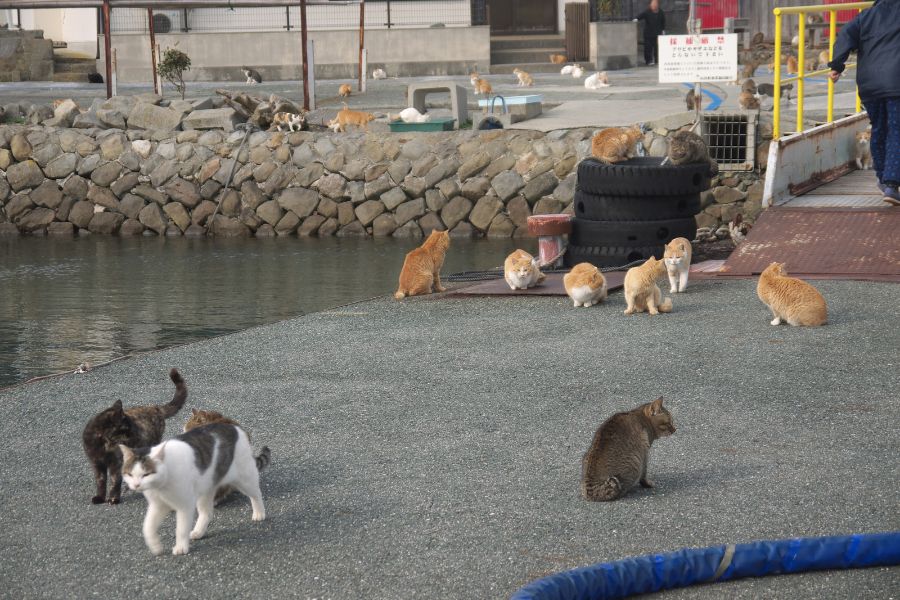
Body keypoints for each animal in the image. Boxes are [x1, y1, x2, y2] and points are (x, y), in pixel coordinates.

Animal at [82, 368, 186, 504]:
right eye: (126, 429)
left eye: (132, 427)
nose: (135, 434)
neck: (103, 444)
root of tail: (155, 407)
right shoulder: (97, 463)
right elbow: (100, 481)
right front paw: (99, 497)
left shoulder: (116, 464)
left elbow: (115, 481)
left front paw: (113, 499)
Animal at [121, 424, 268, 556]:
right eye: (130, 474)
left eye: (146, 474)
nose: (136, 485)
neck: (161, 485)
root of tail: (235, 427)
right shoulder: (158, 505)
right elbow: (148, 526)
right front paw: (155, 546)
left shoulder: (185, 505)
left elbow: (181, 529)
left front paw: (181, 547)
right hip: (206, 489)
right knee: (206, 513)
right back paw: (199, 531)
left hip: (244, 478)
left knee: (256, 494)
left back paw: (259, 513)